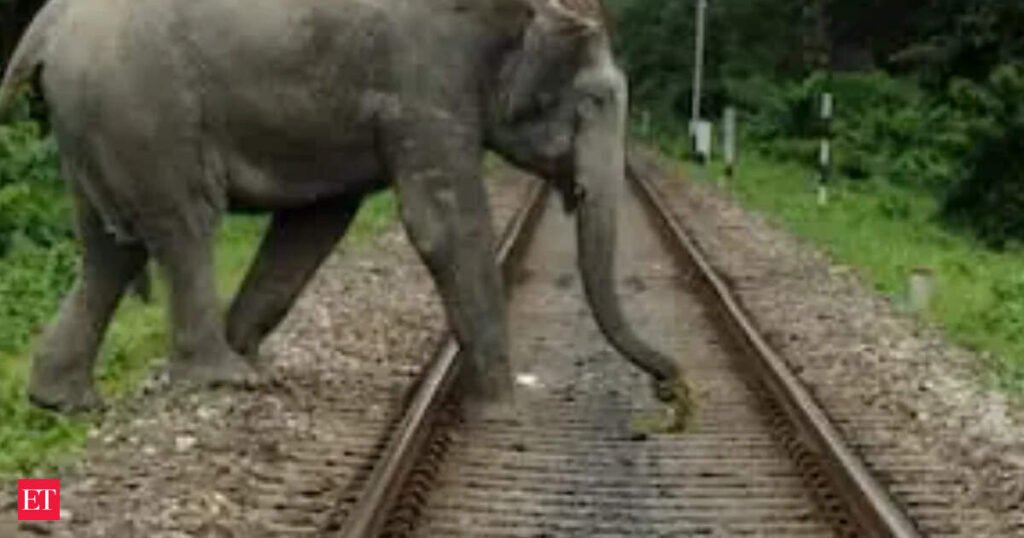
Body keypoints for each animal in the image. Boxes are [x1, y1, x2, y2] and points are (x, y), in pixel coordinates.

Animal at [0, 0, 689, 416]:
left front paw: (254, 352)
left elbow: (317, 222)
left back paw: (66, 401)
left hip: (95, 117)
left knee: (110, 251)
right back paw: (222, 378)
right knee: (186, 225)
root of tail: (47, 25)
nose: (672, 388)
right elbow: (444, 223)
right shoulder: (422, 78)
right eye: (595, 100)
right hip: (146, 106)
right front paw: (504, 398)